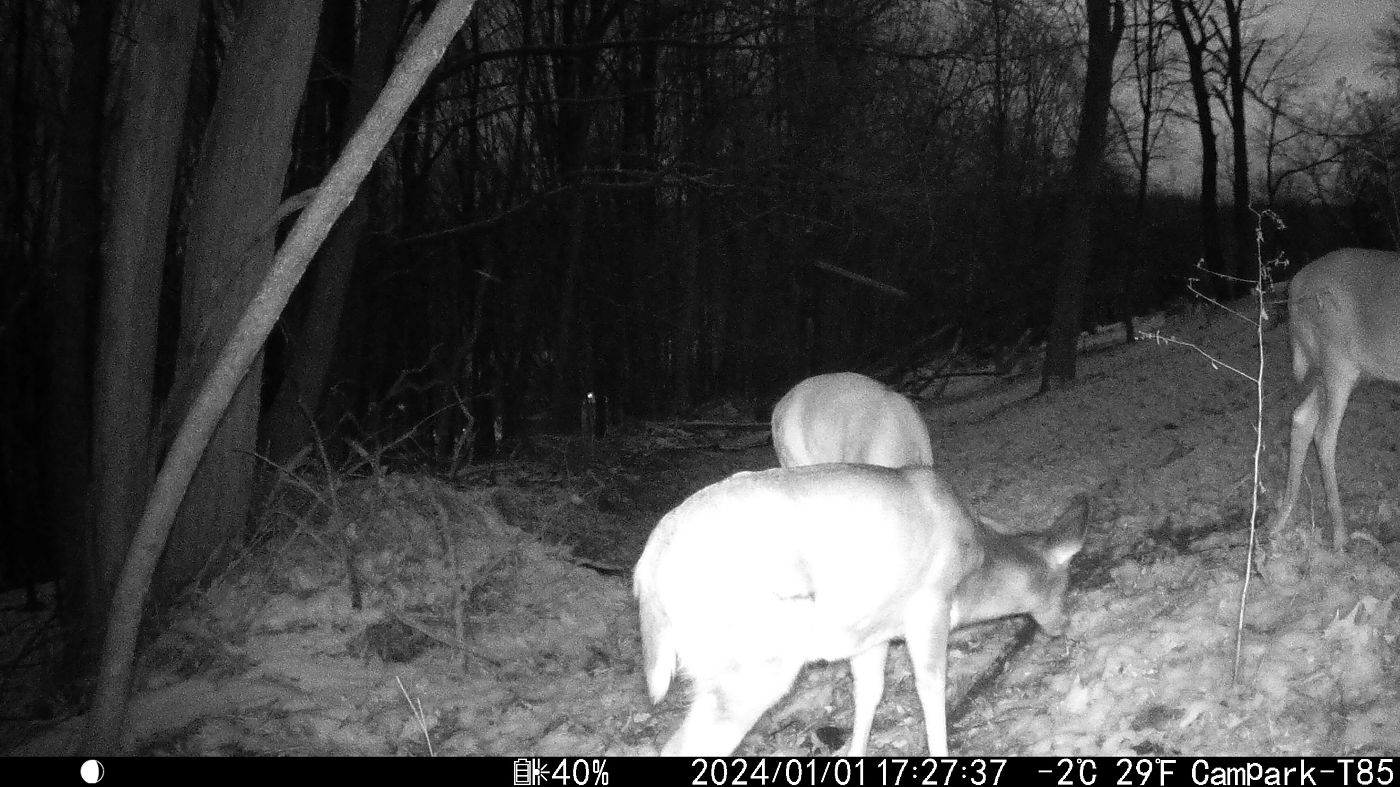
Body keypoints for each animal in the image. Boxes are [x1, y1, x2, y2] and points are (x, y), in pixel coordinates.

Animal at [633, 463, 1087, 756]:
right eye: (1066, 583)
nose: (1064, 625)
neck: (974, 566)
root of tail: (646, 573)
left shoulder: (870, 631)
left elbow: (869, 693)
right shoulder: (929, 607)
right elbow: (931, 689)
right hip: (754, 662)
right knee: (682, 746)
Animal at [1273, 248, 1400, 550]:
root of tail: (1295, 287)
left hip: (1339, 369)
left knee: (1301, 416)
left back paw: (1280, 522)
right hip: (1337, 362)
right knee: (1324, 434)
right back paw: (1340, 537)